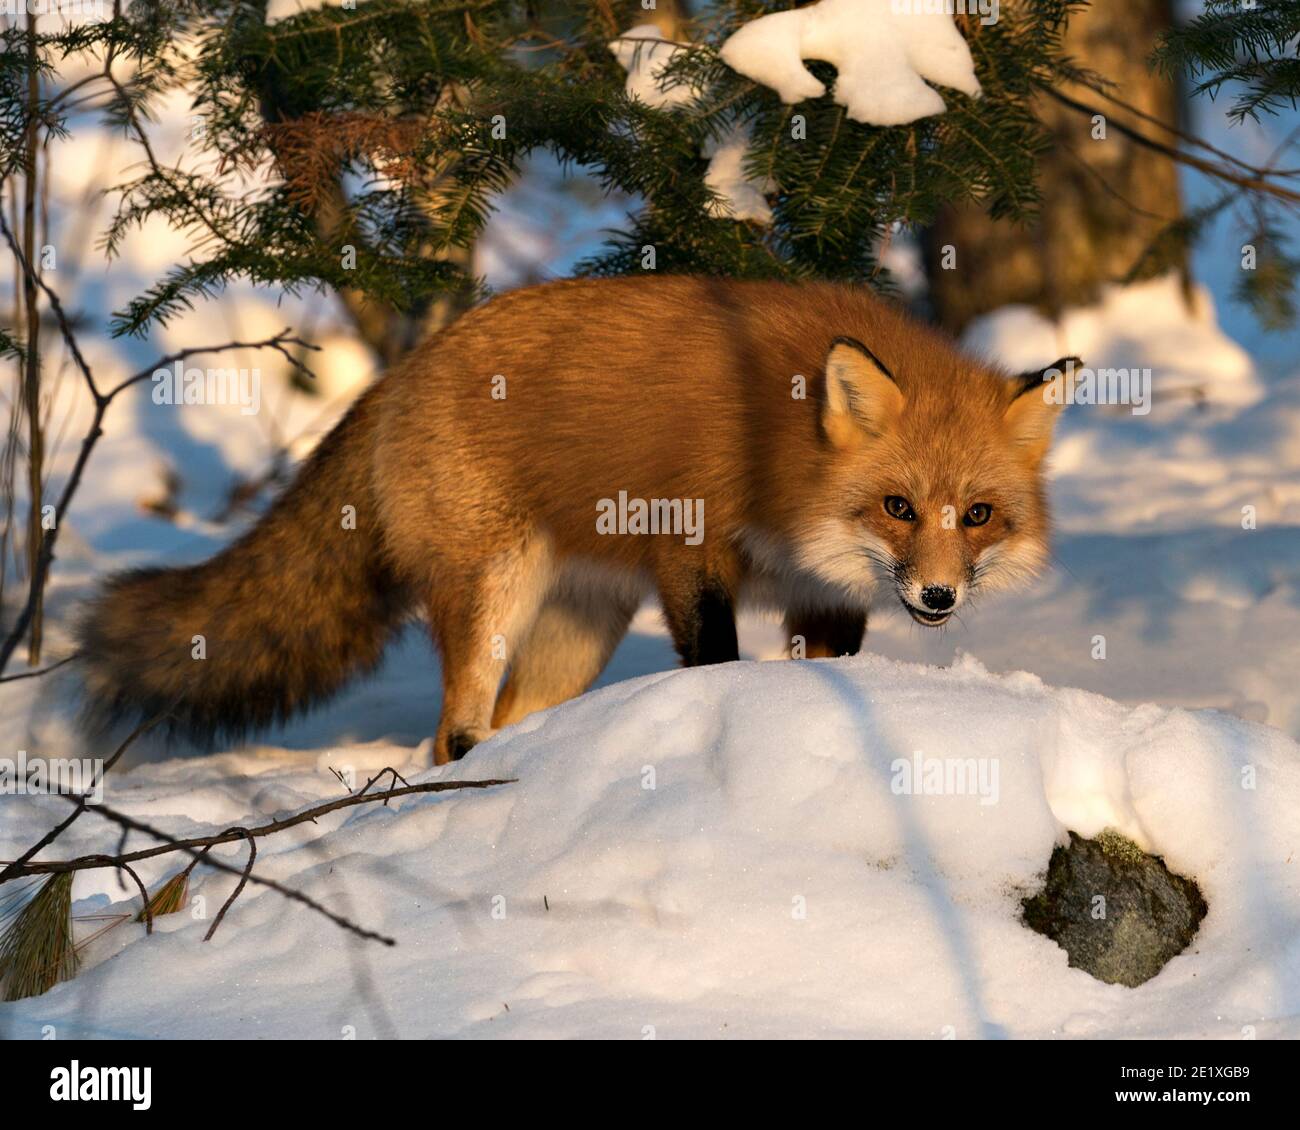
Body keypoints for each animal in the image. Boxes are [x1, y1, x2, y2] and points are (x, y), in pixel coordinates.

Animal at [78, 276, 1076, 764]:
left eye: (978, 515)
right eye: (898, 507)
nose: (939, 598)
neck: (779, 448)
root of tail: (399, 372)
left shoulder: (824, 595)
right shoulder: (690, 544)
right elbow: (716, 656)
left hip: (578, 632)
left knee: (498, 725)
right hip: (495, 589)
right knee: (456, 729)